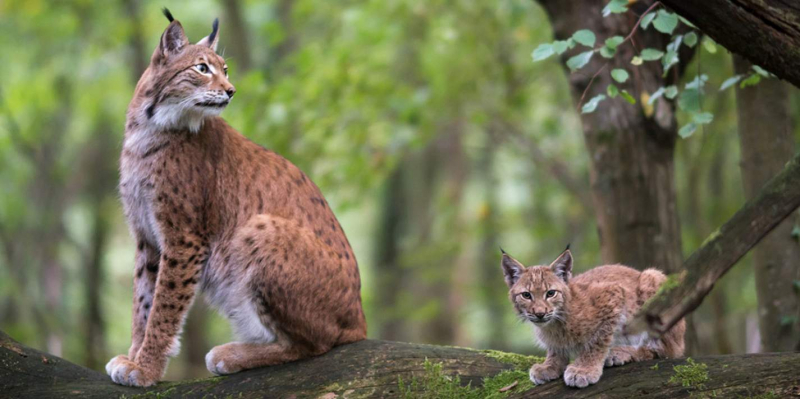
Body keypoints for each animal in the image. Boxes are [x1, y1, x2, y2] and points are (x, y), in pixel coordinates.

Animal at [500, 248, 680, 390]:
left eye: (550, 293)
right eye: (526, 295)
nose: (539, 313)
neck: (556, 322)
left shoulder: (612, 295)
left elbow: (596, 341)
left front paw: (584, 369)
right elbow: (555, 348)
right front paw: (550, 365)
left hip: (653, 278)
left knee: (667, 350)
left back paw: (621, 352)